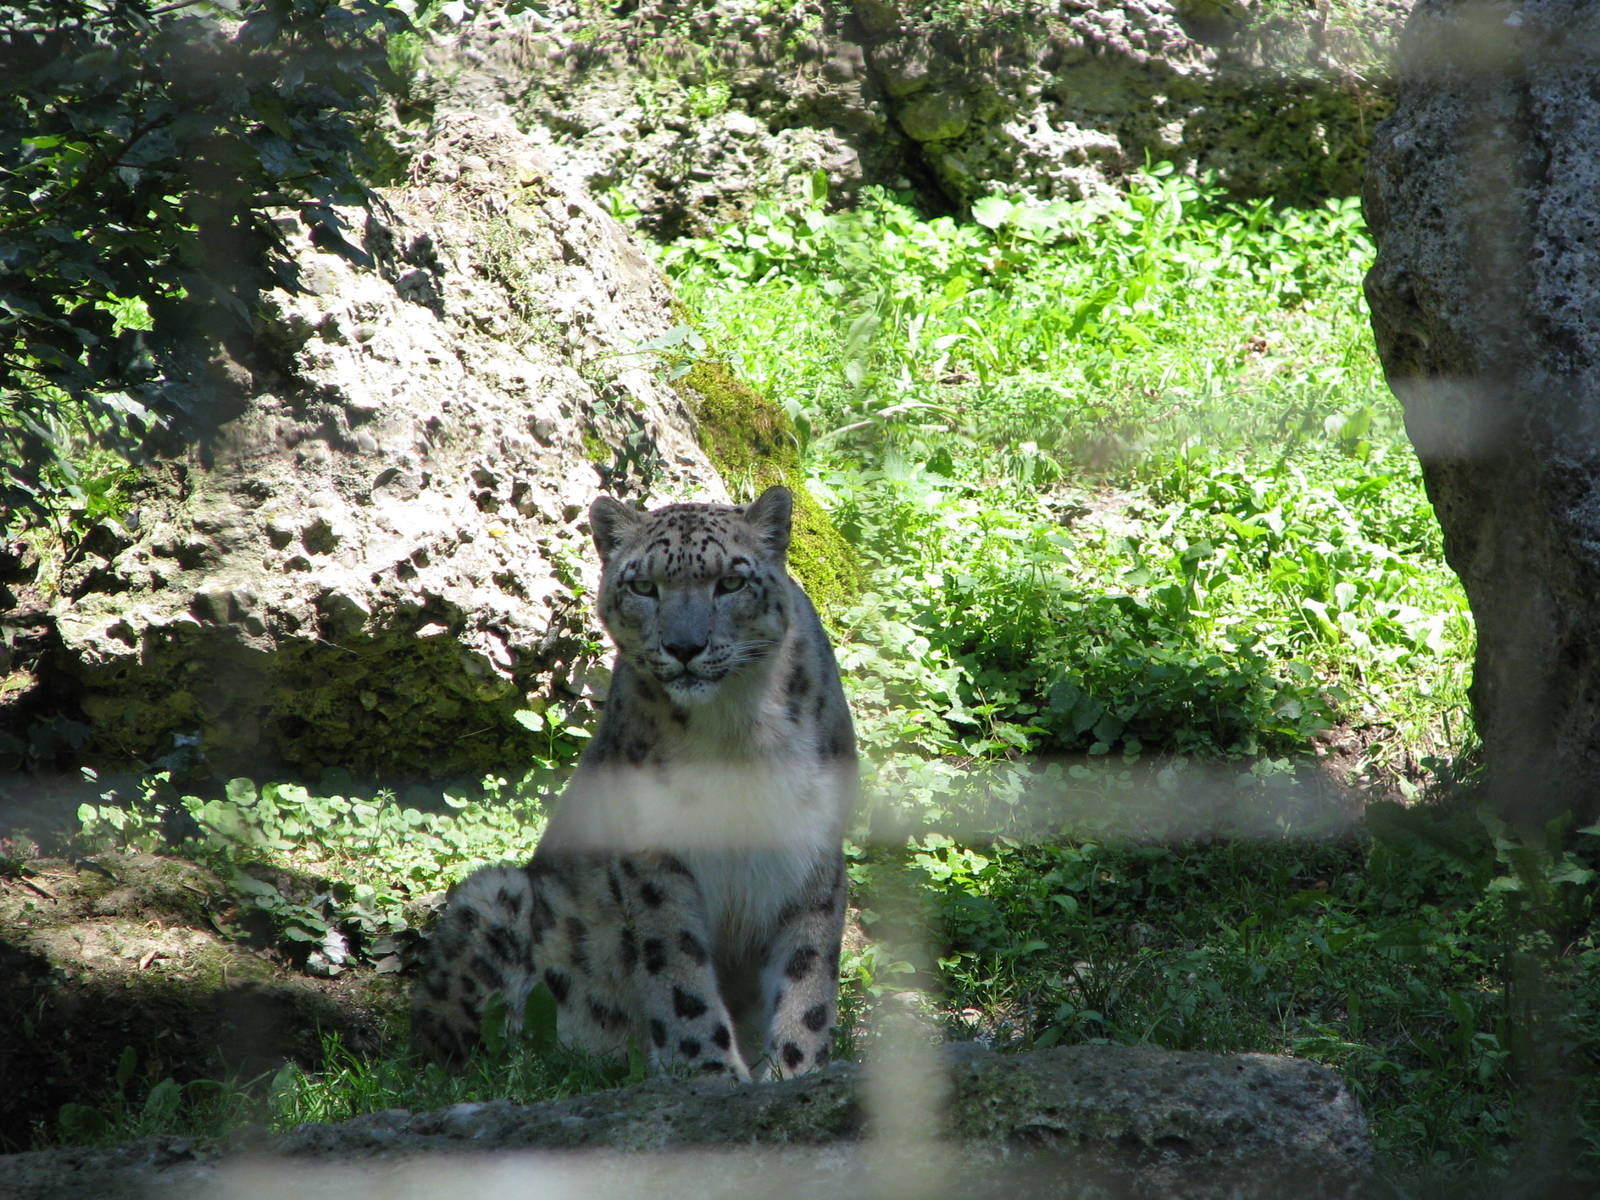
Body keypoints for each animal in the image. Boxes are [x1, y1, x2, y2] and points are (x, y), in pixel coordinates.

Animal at [409, 484, 857, 1081]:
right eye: (644, 586)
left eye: (731, 582)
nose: (685, 647)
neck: (736, 725)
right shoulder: (654, 850)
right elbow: (680, 974)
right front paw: (710, 1072)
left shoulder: (812, 844)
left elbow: (808, 982)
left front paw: (794, 1071)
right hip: (492, 899)